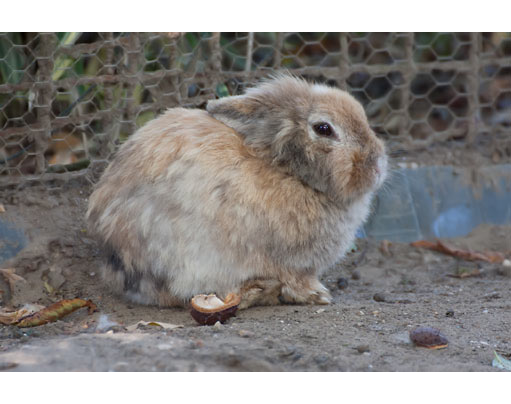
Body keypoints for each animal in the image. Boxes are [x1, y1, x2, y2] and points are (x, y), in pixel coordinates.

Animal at [86, 72, 388, 308]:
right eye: (324, 128)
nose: (378, 166)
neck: (285, 170)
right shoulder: (286, 263)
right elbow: (296, 280)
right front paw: (318, 295)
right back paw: (258, 292)